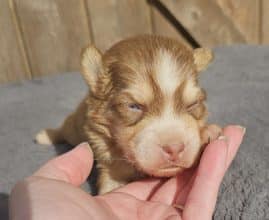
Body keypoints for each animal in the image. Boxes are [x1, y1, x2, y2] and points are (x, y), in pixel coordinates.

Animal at [35, 34, 220, 194]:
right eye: (134, 106)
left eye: (192, 104)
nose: (174, 148)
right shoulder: (110, 167)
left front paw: (208, 133)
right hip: (74, 128)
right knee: (64, 129)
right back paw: (44, 135)